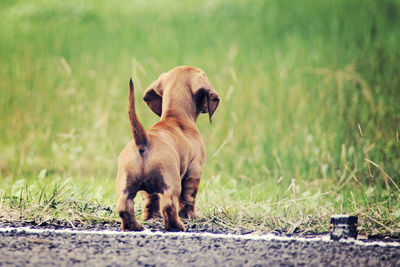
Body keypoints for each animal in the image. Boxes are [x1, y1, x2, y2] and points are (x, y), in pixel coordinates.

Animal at [117, 66, 220, 231]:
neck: (175, 116)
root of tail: (144, 140)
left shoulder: (148, 191)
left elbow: (151, 201)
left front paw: (152, 218)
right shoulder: (194, 170)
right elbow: (188, 198)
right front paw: (191, 216)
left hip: (126, 184)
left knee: (124, 206)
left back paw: (134, 226)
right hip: (172, 181)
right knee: (169, 204)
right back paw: (176, 226)